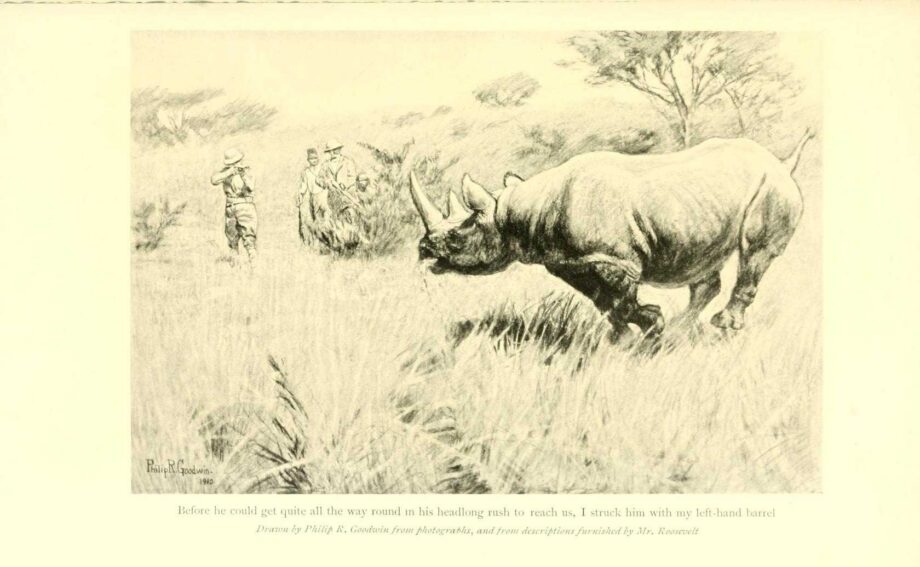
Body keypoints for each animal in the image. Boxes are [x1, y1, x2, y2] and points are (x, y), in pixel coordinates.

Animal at [408, 131, 815, 340]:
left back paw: (720, 326)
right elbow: (603, 300)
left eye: (456, 238)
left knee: (755, 250)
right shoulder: (568, 261)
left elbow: (619, 297)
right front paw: (628, 334)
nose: (423, 250)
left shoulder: (616, 259)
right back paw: (680, 332)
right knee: (703, 264)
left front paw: (650, 323)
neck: (517, 213)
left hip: (771, 187)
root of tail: (780, 161)